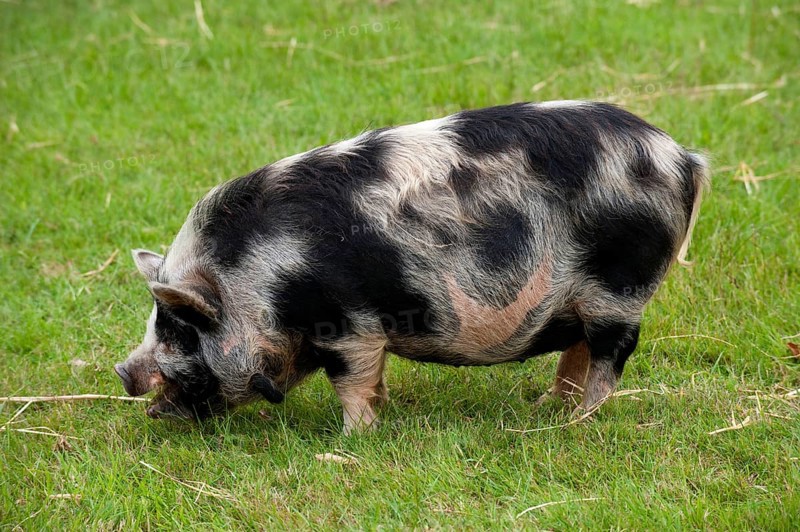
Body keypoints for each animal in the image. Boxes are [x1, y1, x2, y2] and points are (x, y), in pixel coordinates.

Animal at [114, 101, 708, 433]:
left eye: (178, 327)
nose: (123, 371)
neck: (261, 280)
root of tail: (681, 158)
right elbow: (371, 380)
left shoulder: (347, 326)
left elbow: (352, 383)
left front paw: (351, 439)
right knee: (579, 348)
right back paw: (548, 407)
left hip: (622, 286)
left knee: (611, 354)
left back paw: (580, 424)